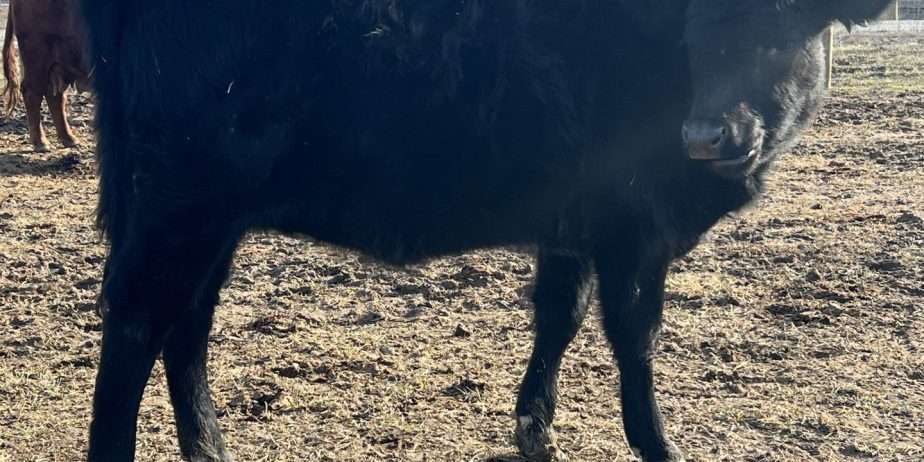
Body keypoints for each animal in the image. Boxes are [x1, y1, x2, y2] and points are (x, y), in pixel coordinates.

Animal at [80, 1, 893, 461]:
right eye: (699, 33)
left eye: (781, 27)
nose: (706, 135)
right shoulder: (635, 231)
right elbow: (635, 339)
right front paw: (659, 443)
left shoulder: (574, 226)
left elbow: (559, 314)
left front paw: (535, 429)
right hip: (179, 206)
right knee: (137, 323)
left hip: (212, 221)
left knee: (186, 325)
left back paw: (210, 449)